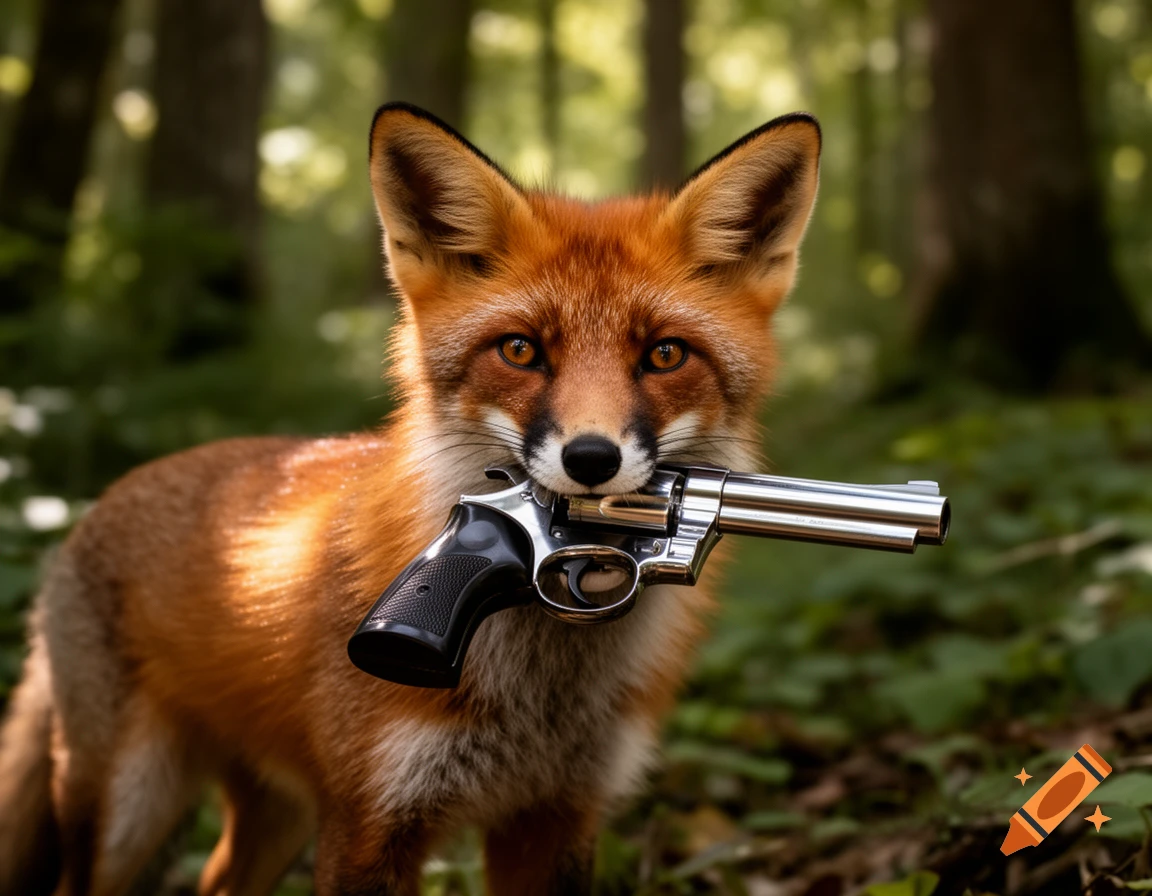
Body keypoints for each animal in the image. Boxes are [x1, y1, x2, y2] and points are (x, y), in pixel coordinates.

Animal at [0, 102, 820, 896]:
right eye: (521, 350)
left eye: (664, 355)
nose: (592, 459)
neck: (542, 695)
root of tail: (90, 511)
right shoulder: (369, 820)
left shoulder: (556, 813)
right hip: (128, 815)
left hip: (277, 818)